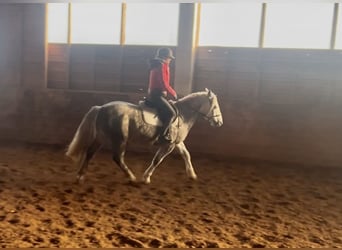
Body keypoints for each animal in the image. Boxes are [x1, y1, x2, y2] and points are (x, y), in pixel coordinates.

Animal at [65, 88, 223, 184]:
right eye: (215, 107)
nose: (219, 122)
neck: (183, 115)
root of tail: (101, 108)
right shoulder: (169, 145)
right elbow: (157, 160)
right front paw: (146, 177)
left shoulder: (176, 142)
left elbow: (186, 154)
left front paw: (192, 175)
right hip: (119, 140)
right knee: (117, 158)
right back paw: (131, 177)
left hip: (101, 138)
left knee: (90, 153)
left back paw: (80, 176)